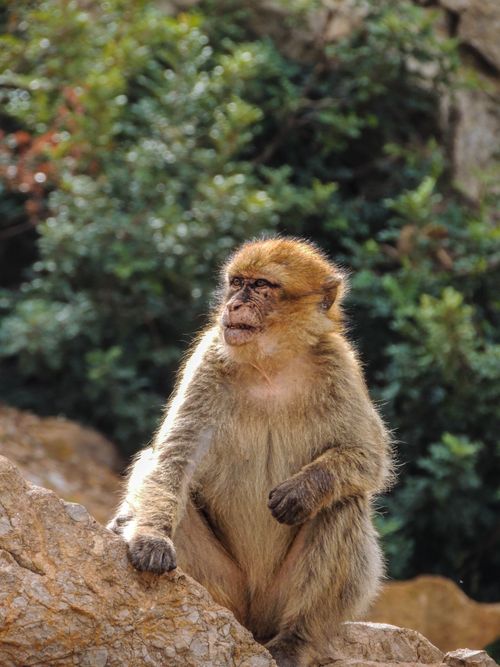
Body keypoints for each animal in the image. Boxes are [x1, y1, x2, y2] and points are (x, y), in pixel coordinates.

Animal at [108, 237, 394, 666]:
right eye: (236, 282)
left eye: (261, 286)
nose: (234, 305)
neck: (270, 364)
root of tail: (252, 620)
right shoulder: (209, 356)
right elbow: (174, 459)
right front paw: (150, 538)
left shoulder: (338, 364)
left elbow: (368, 456)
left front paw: (303, 490)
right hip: (227, 587)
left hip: (278, 598)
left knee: (345, 503)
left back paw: (295, 639)